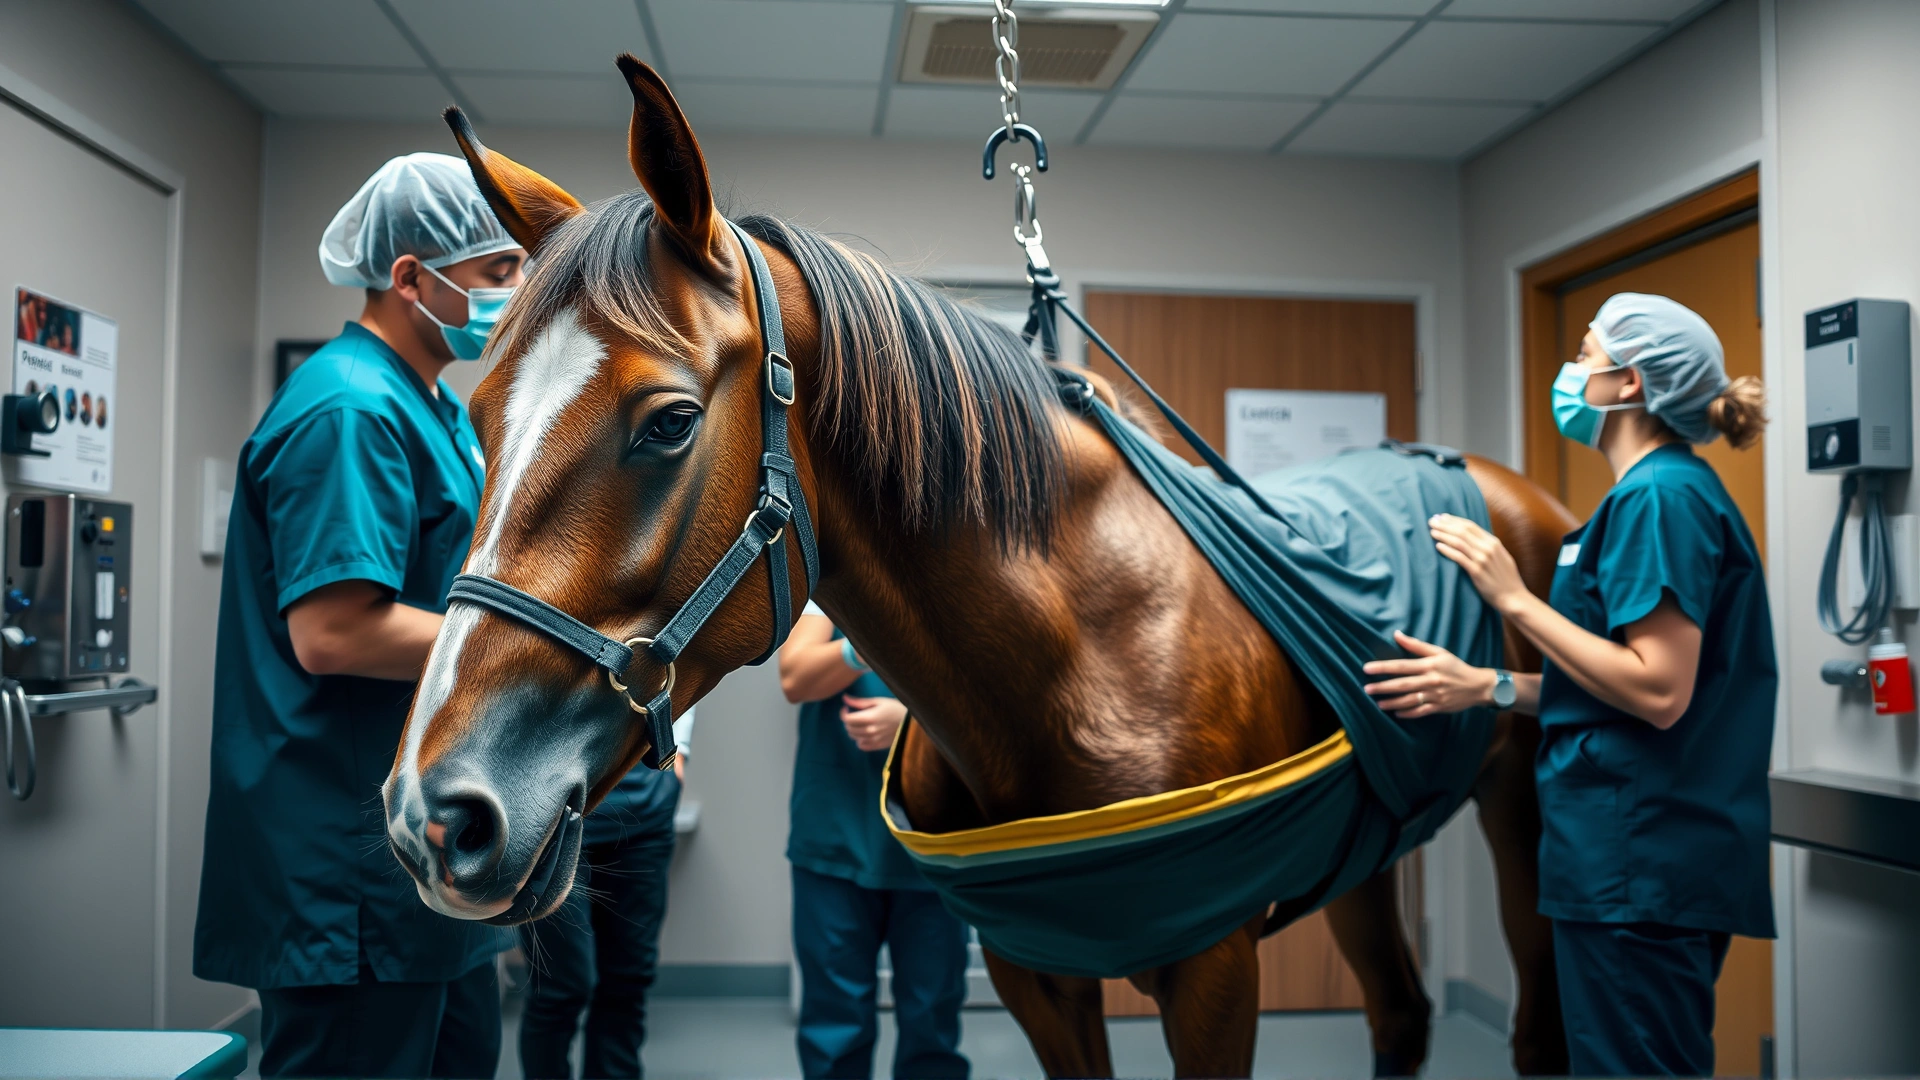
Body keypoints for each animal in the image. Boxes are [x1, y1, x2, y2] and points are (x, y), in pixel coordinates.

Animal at [381, 56, 1578, 1078]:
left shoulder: (1215, 974)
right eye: (478, 419)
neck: (1075, 660)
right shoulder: (1037, 976)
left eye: (669, 423)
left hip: (1520, 811)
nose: (436, 813)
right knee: (1401, 1010)